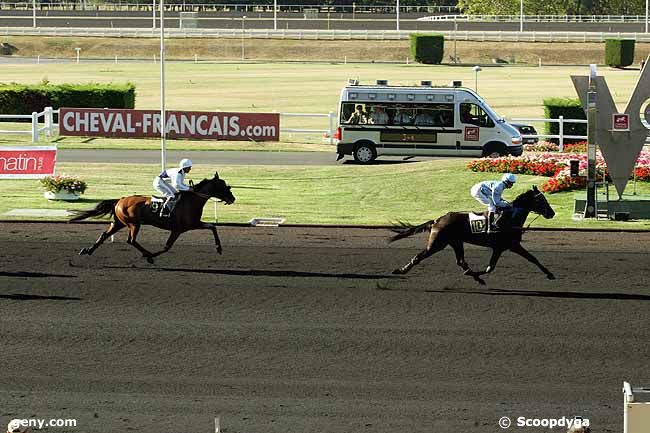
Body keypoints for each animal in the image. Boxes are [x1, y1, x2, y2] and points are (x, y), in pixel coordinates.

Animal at [69, 170, 235, 262]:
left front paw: (219, 248)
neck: (191, 201)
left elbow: (212, 227)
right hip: (134, 224)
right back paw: (147, 254)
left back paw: (88, 251)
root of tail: (120, 200)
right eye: (224, 186)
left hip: (119, 223)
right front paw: (151, 256)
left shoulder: (193, 224)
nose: (233, 199)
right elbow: (167, 247)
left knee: (104, 235)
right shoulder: (178, 229)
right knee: (131, 240)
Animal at [388, 185, 556, 284]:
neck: (510, 218)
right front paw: (550, 274)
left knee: (461, 261)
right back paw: (400, 270)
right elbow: (532, 258)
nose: (552, 213)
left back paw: (475, 276)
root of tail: (437, 220)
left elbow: (491, 267)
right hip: (437, 243)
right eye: (541, 200)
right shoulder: (511, 245)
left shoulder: (501, 248)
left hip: (456, 242)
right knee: (419, 257)